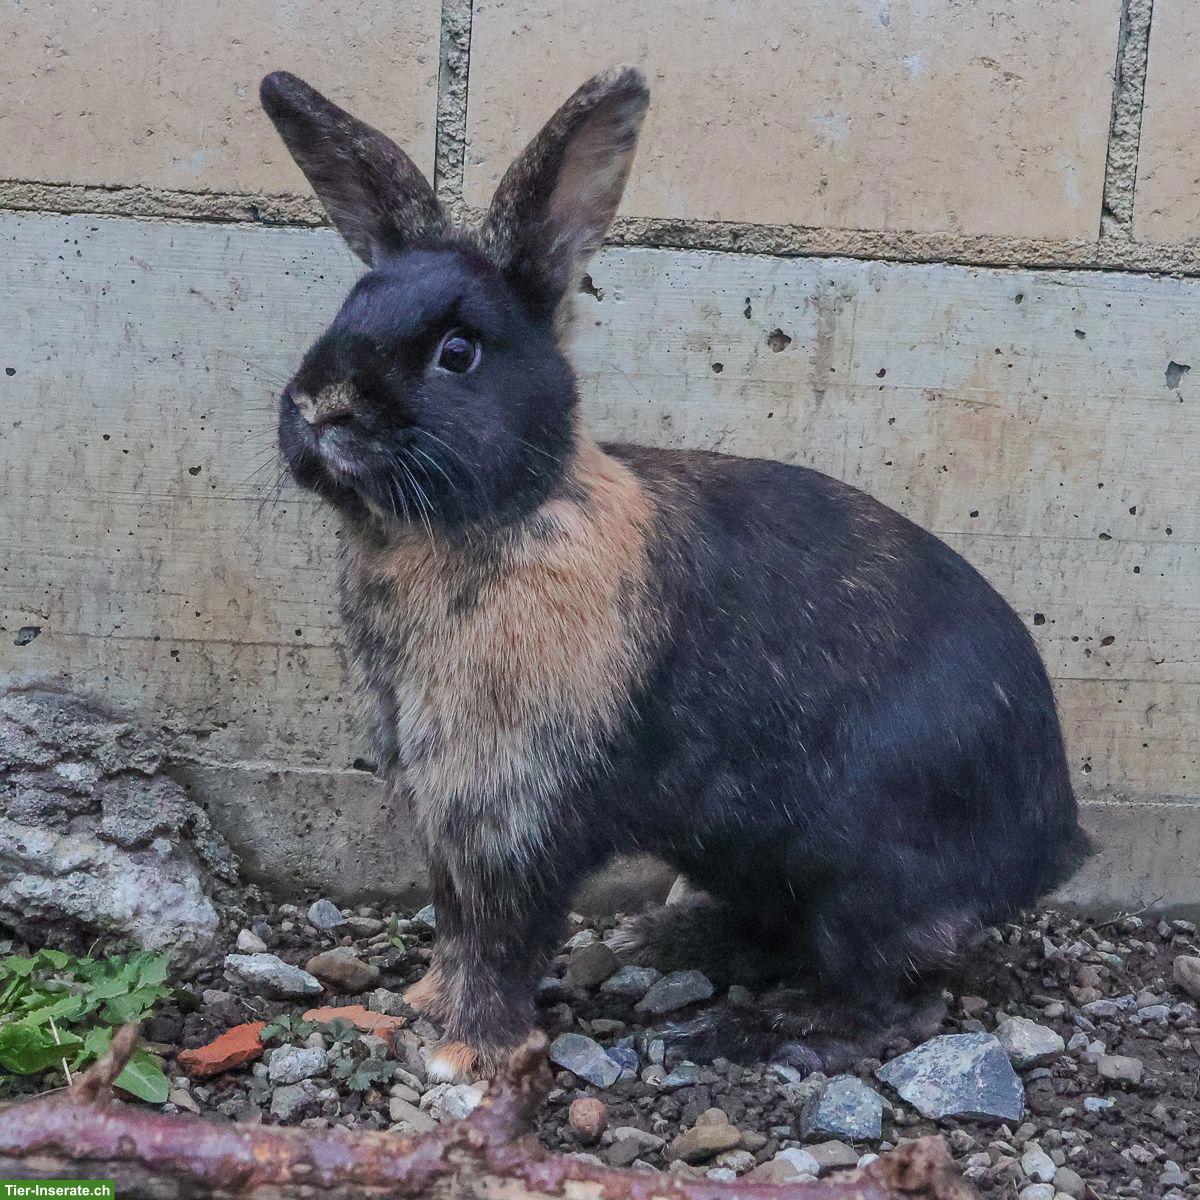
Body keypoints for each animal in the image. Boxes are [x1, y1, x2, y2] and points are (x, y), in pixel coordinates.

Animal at [260, 65, 1090, 1082]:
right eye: (344, 311)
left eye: (458, 353)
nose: (320, 406)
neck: (509, 512)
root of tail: (1051, 838)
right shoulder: (446, 810)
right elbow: (456, 927)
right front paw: (422, 1006)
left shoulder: (512, 809)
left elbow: (500, 936)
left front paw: (469, 1049)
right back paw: (677, 942)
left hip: (863, 880)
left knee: (900, 997)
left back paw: (782, 1030)